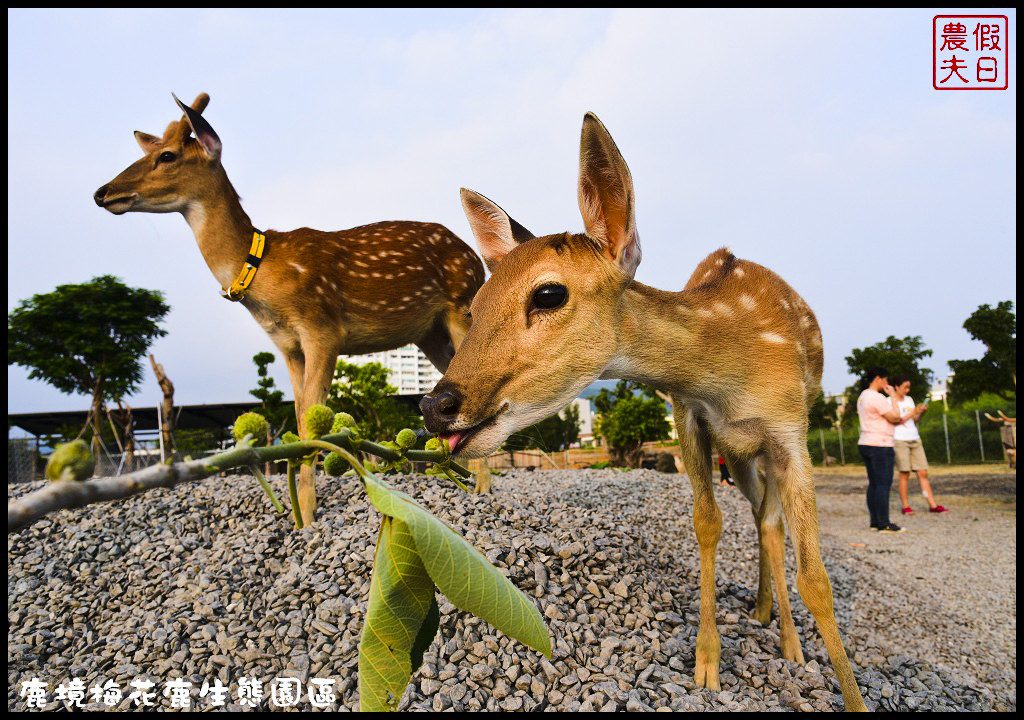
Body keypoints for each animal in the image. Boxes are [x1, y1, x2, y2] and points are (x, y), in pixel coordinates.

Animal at [92, 95, 483, 524]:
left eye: (167, 156)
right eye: (147, 152)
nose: (103, 192)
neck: (262, 275)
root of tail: (476, 259)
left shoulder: (323, 329)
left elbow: (312, 423)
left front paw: (308, 516)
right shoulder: (287, 346)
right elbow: (298, 417)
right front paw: (298, 514)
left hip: (461, 306)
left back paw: (482, 486)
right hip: (430, 333)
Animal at [419, 115, 868, 712]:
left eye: (548, 293)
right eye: (477, 303)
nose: (435, 405)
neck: (731, 376)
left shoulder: (792, 431)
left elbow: (817, 578)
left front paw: (841, 686)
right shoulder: (690, 415)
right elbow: (708, 522)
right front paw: (707, 665)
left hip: (764, 450)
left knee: (770, 522)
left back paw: (788, 640)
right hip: (738, 454)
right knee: (759, 518)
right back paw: (761, 610)